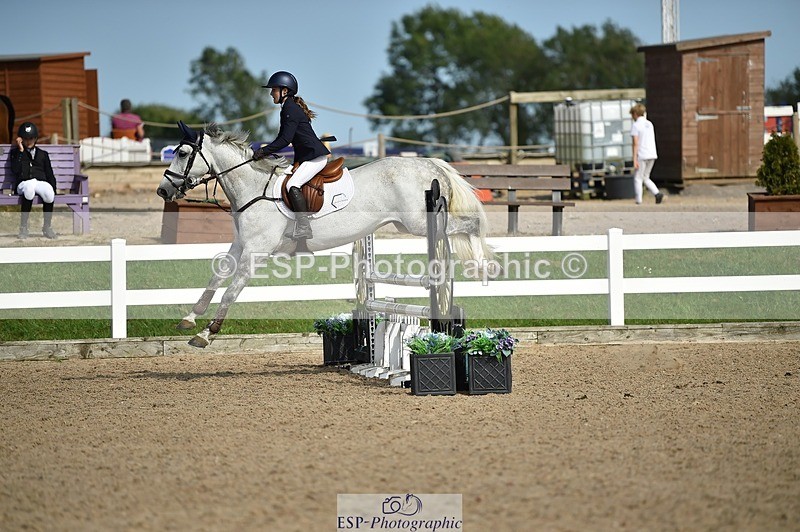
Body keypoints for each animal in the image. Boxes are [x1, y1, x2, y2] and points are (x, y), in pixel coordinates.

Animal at [156, 123, 492, 347]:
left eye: (183, 152)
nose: (163, 191)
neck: (253, 188)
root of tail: (429, 163)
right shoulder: (241, 243)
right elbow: (218, 275)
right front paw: (190, 317)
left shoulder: (256, 251)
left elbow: (231, 290)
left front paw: (206, 333)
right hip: (405, 224)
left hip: (419, 223)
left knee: (469, 225)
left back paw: (482, 266)